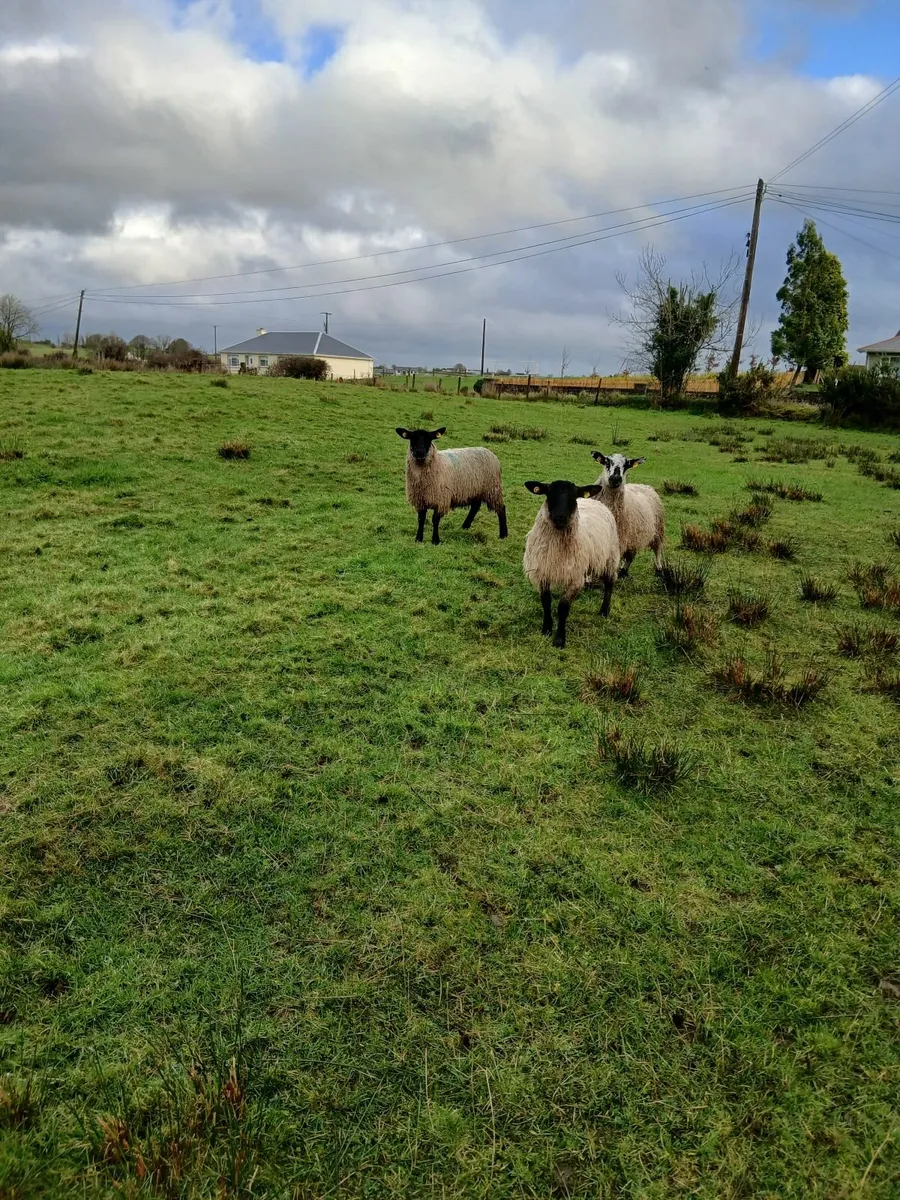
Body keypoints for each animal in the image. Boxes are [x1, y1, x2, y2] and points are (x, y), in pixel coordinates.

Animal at [522, 479, 619, 648]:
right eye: (549, 493)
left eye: (573, 497)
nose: (560, 518)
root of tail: (594, 501)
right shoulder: (543, 572)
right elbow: (546, 602)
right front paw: (546, 629)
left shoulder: (574, 578)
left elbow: (563, 607)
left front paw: (559, 639)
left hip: (610, 557)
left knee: (609, 584)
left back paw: (604, 611)